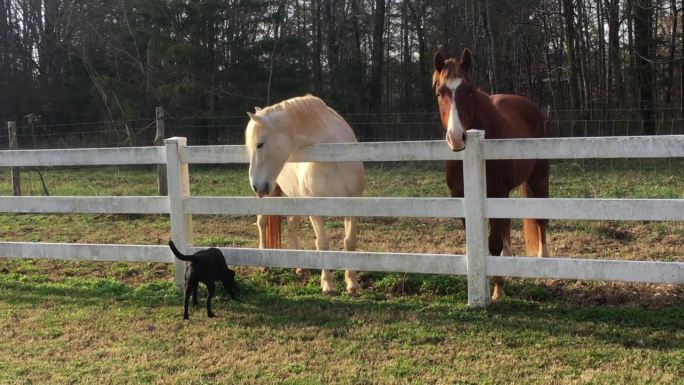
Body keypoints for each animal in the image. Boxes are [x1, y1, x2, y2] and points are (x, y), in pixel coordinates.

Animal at [244, 94, 366, 294]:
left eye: (260, 144)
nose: (256, 185)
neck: (332, 156)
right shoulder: (315, 208)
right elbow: (322, 244)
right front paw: (328, 285)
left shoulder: (352, 203)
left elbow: (350, 241)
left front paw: (352, 284)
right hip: (271, 196)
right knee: (262, 222)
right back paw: (264, 264)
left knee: (292, 225)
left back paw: (300, 268)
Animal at [432, 48, 552, 300]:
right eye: (439, 92)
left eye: (469, 90)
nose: (457, 138)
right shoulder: (462, 196)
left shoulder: (497, 191)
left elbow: (493, 244)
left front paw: (498, 290)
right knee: (506, 223)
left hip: (538, 177)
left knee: (540, 218)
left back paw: (543, 259)